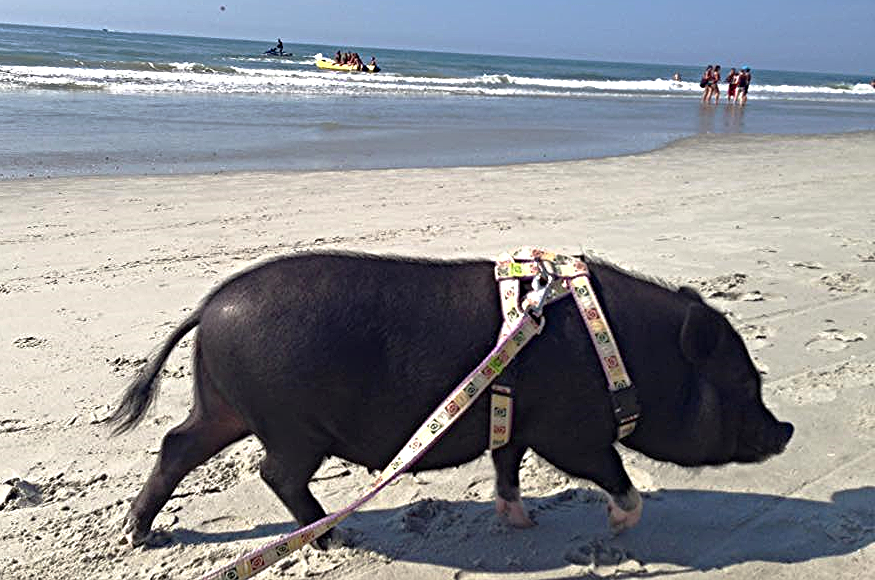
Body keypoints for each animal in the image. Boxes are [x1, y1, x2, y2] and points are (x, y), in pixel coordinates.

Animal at [109, 251, 793, 547]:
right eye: (745, 384)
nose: (786, 430)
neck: (623, 357)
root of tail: (209, 307)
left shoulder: (516, 422)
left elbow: (507, 466)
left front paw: (521, 522)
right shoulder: (570, 433)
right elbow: (613, 474)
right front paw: (618, 527)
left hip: (223, 406)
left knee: (177, 445)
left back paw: (139, 537)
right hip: (289, 424)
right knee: (274, 472)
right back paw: (334, 538)